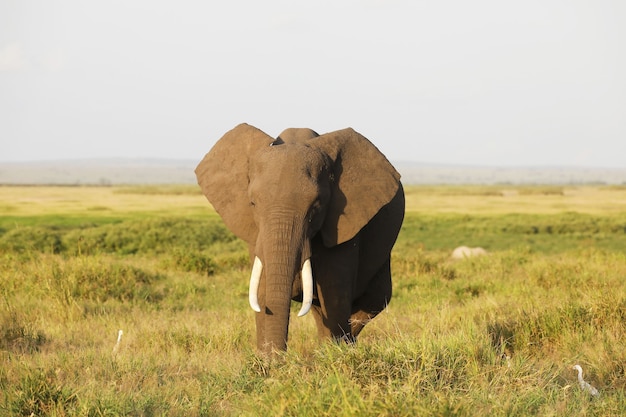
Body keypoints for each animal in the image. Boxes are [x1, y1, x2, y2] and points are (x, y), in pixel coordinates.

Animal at [193, 123, 404, 354]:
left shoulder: (342, 225)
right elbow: (262, 288)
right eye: (252, 203)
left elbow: (335, 293)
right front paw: (267, 360)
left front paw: (334, 356)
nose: (278, 357)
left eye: (316, 206)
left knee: (372, 302)